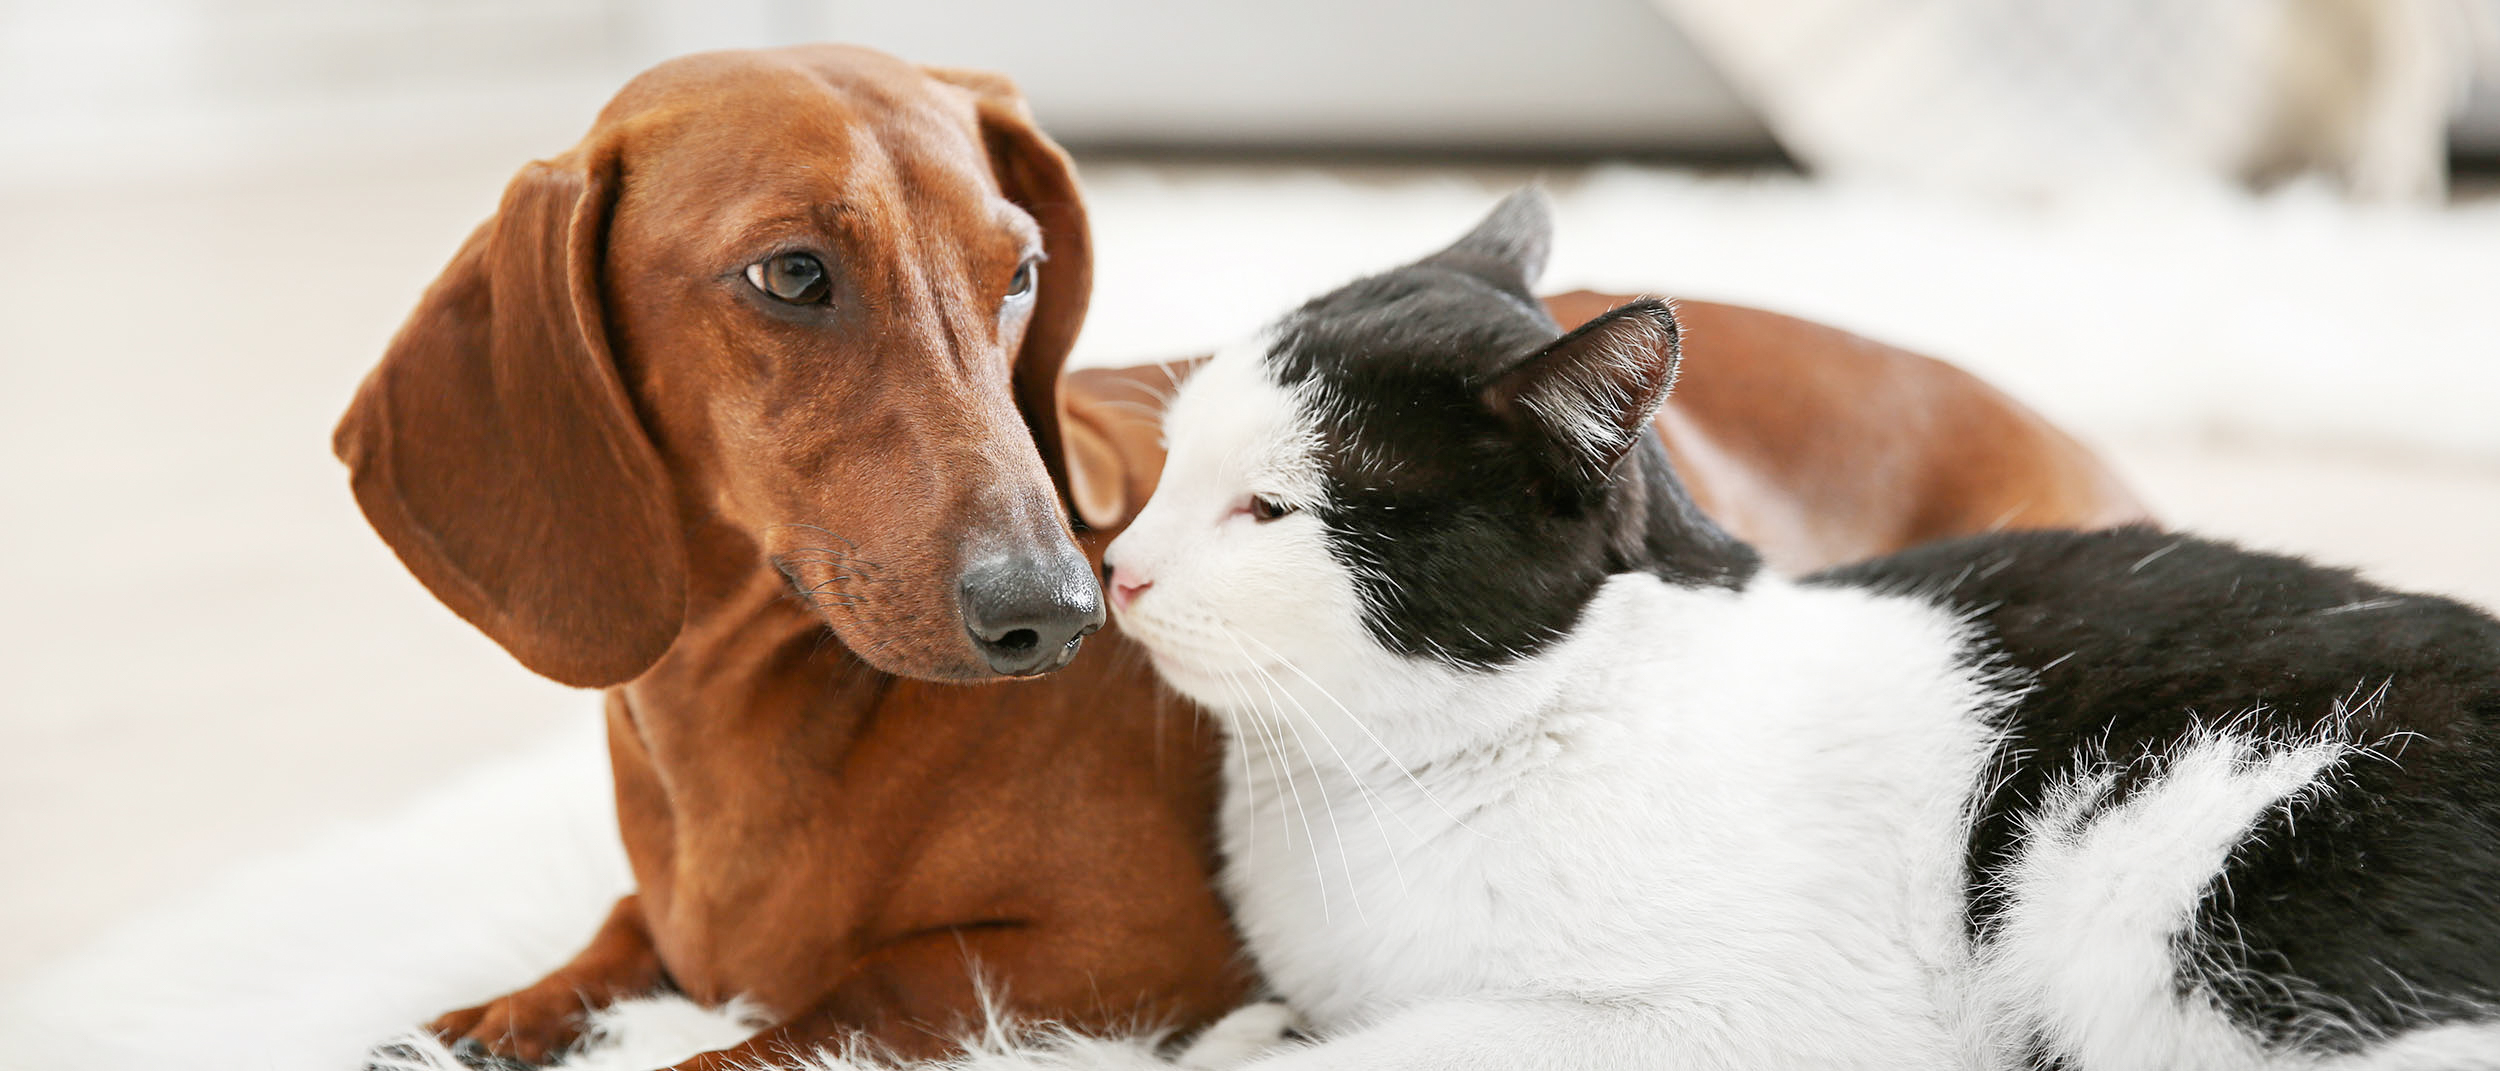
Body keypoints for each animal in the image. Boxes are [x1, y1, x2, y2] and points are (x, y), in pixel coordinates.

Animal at [337, 43, 2150, 1071]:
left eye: (1017, 269)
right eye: (791, 275)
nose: (1058, 609)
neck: (752, 716)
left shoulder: (1094, 968)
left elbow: (820, 1013)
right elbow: (610, 942)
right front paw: (483, 1017)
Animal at [1110, 193, 2500, 1071]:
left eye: (1268, 509)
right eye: (1170, 465)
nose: (1117, 568)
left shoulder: (1738, 1023)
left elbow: (1385, 1050)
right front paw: (1241, 1030)